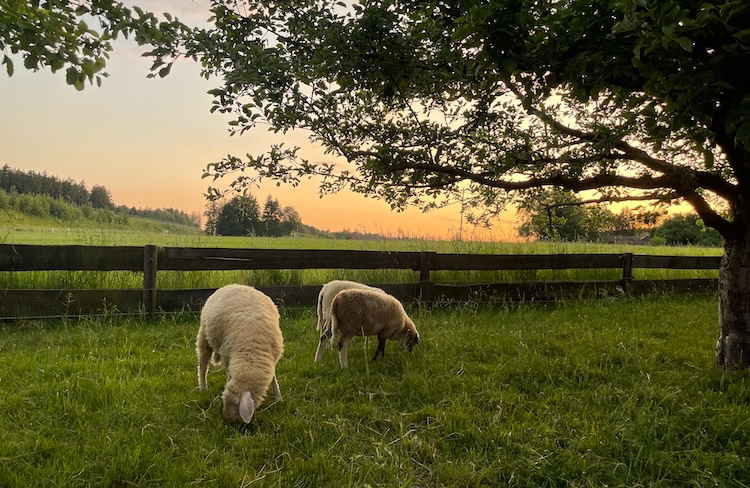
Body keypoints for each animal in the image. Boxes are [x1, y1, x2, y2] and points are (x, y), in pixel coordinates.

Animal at [196, 284, 284, 423]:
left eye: (236, 404)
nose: (228, 420)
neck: (252, 354)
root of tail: (233, 285)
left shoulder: (272, 358)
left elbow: (273, 378)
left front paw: (278, 398)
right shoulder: (228, 357)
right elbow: (229, 375)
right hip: (204, 336)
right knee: (203, 366)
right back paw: (203, 388)